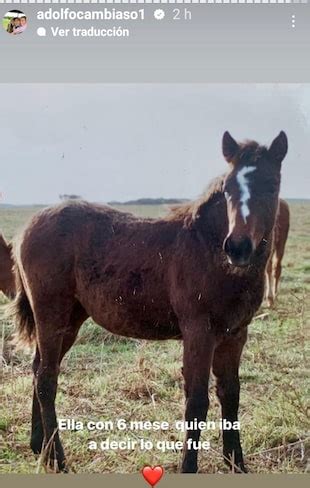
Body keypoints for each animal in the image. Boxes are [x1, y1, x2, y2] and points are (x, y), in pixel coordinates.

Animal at [10, 132, 288, 474]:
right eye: (228, 189)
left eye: (271, 185)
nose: (237, 247)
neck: (208, 247)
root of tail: (25, 229)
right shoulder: (198, 331)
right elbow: (196, 400)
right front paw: (188, 468)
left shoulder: (235, 333)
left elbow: (230, 394)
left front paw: (237, 464)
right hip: (51, 314)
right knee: (47, 378)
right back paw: (58, 460)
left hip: (70, 320)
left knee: (38, 369)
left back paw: (41, 448)